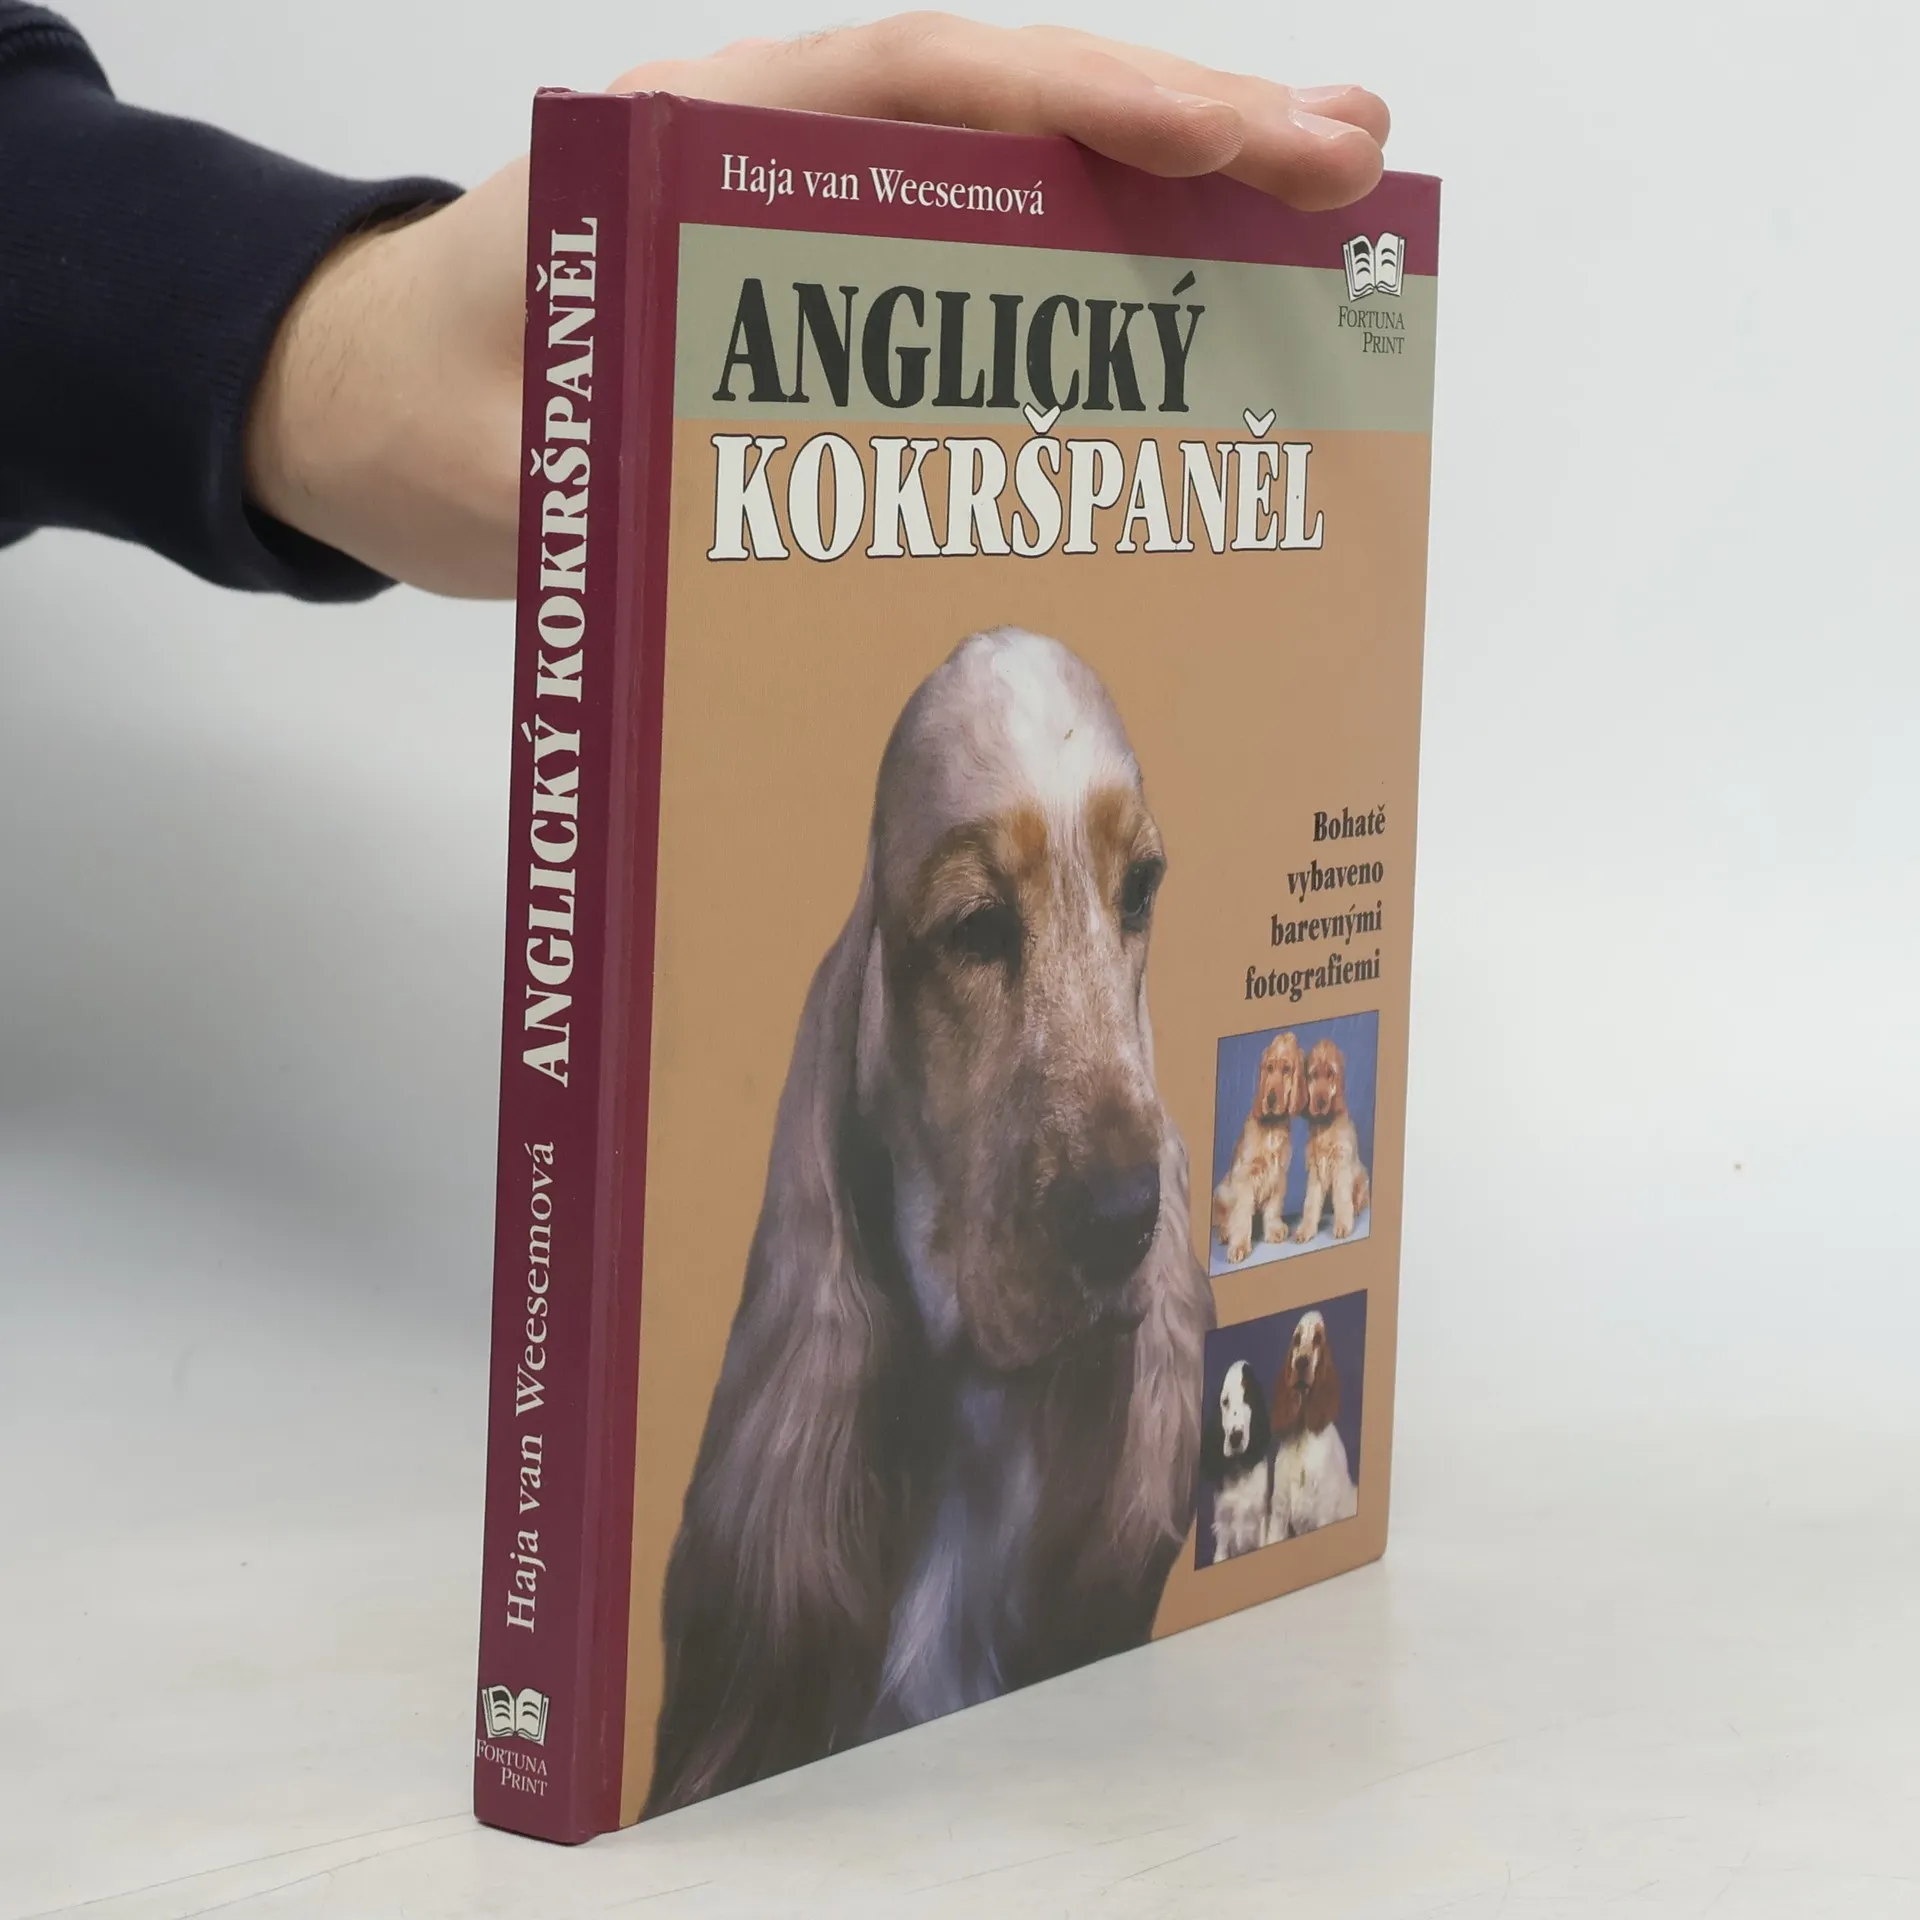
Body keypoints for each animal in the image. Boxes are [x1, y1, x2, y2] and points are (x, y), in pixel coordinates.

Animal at [1211, 1031, 1305, 1262]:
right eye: (1269, 1068)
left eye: (1287, 1069)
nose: (1269, 1100)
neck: (1272, 1125)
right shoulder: (1246, 1175)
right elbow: (1242, 1213)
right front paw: (1238, 1246)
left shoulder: (1279, 1174)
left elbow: (1273, 1207)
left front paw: (1274, 1231)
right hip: (1222, 1190)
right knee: (1225, 1218)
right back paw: (1225, 1232)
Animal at [1269, 1309, 1358, 1538]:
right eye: (1297, 1339)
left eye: (1318, 1339)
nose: (1301, 1362)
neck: (1303, 1434)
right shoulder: (1279, 1516)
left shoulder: (1322, 1517)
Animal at [1292, 1037, 1370, 1243]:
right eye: (1313, 1075)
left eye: (1330, 1074)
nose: (1320, 1103)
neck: (1324, 1125)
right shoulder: (1315, 1170)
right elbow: (1310, 1202)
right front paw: (1305, 1230)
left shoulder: (1341, 1165)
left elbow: (1343, 1199)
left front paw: (1343, 1226)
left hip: (1362, 1177)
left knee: (1360, 1199)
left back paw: (1357, 1209)